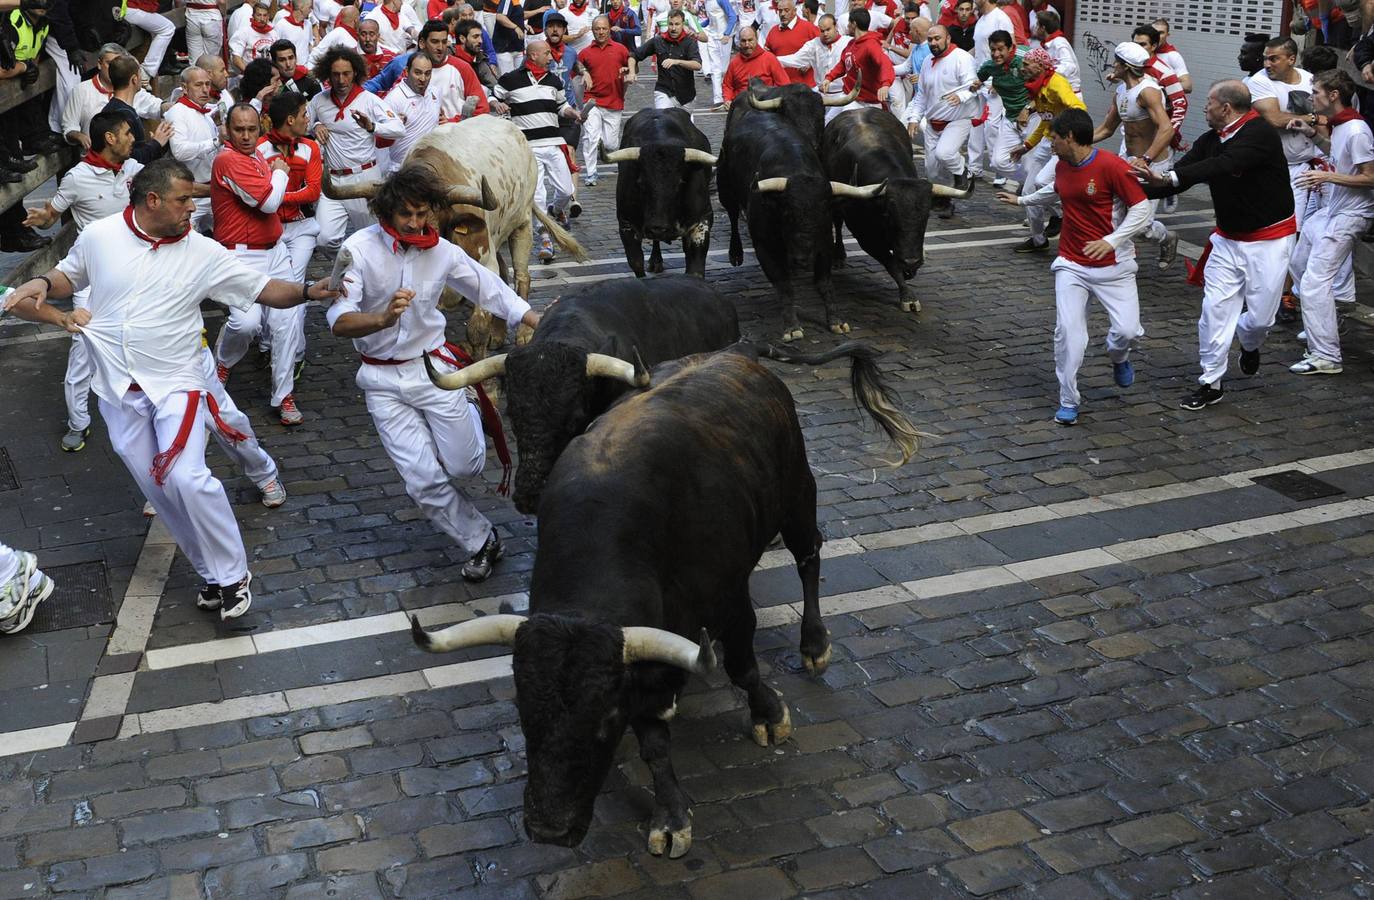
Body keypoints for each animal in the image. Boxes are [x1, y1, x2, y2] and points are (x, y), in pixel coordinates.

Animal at [412, 343, 917, 857]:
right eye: (522, 712)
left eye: (606, 717)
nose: (549, 830)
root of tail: (735, 353)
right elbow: (654, 741)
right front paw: (671, 815)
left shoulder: (731, 602)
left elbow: (743, 668)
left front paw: (770, 714)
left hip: (797, 493)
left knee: (809, 556)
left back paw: (814, 645)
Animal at [615, 108, 719, 277]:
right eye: (641, 183)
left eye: (680, 183)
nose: (658, 227)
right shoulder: (626, 223)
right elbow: (636, 262)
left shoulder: (702, 220)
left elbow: (695, 267)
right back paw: (655, 261)